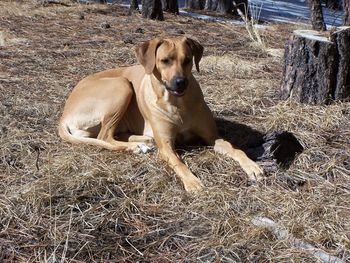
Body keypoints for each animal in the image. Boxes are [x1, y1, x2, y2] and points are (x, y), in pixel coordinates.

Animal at [59, 37, 262, 193]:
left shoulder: (213, 137)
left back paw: (142, 141)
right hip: (122, 85)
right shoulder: (166, 146)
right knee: (104, 136)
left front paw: (252, 166)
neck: (177, 104)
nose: (181, 82)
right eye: (165, 60)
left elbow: (235, 149)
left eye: (187, 60)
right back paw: (137, 147)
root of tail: (64, 114)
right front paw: (192, 181)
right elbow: (178, 163)